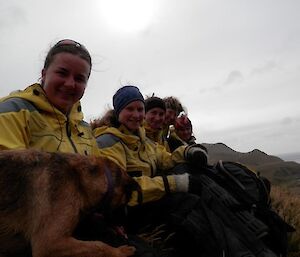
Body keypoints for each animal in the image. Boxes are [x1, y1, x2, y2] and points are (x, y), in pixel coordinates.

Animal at [0, 148, 140, 256]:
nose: (126, 227)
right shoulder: (49, 243)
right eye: (126, 201)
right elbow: (98, 245)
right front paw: (119, 252)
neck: (78, 179)